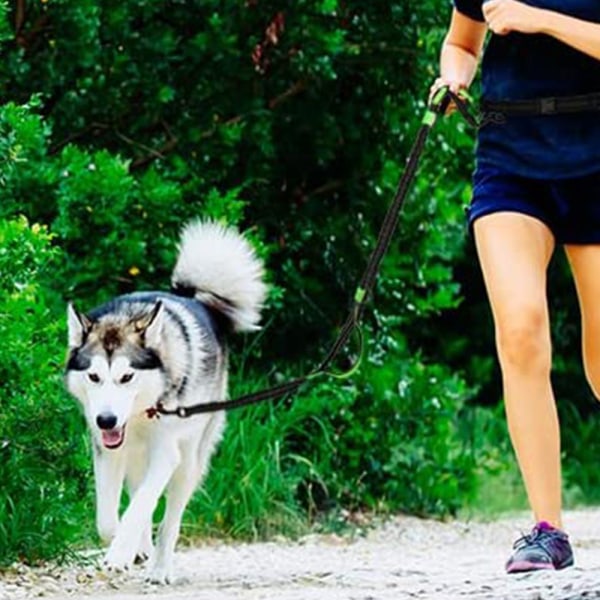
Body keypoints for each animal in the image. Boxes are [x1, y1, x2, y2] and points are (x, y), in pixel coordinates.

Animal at [64, 220, 266, 580]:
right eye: (94, 377)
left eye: (127, 377)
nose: (106, 420)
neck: (141, 414)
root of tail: (194, 297)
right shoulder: (107, 451)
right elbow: (108, 520)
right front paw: (125, 543)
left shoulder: (165, 455)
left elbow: (141, 506)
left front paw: (121, 552)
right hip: (136, 458)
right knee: (138, 493)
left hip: (189, 462)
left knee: (170, 517)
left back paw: (160, 567)